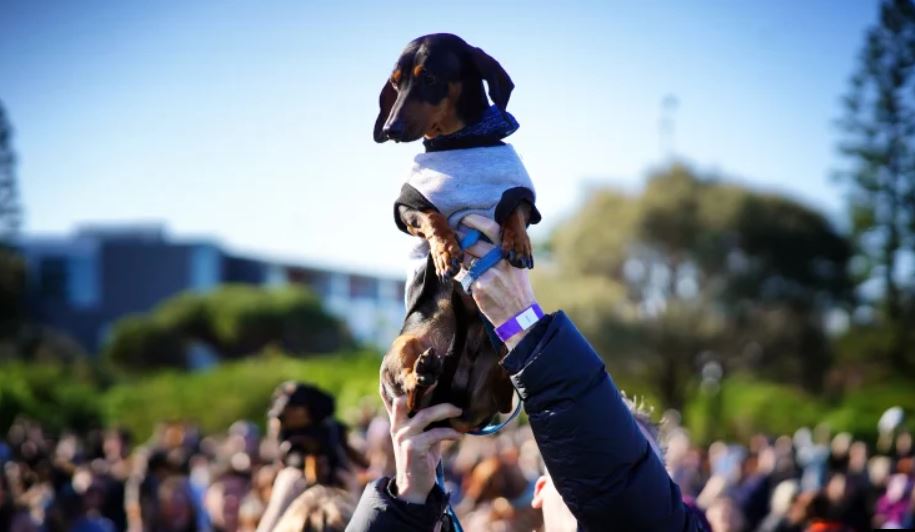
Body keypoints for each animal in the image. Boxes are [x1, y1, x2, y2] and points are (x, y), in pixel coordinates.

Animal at [376, 33, 540, 432]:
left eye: (429, 77)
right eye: (395, 83)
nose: (390, 129)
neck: (462, 142)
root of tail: (454, 404)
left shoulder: (522, 193)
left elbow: (515, 209)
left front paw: (518, 243)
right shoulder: (408, 204)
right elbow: (433, 216)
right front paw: (446, 250)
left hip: (497, 373)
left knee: (506, 391)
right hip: (403, 346)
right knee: (412, 397)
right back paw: (422, 374)